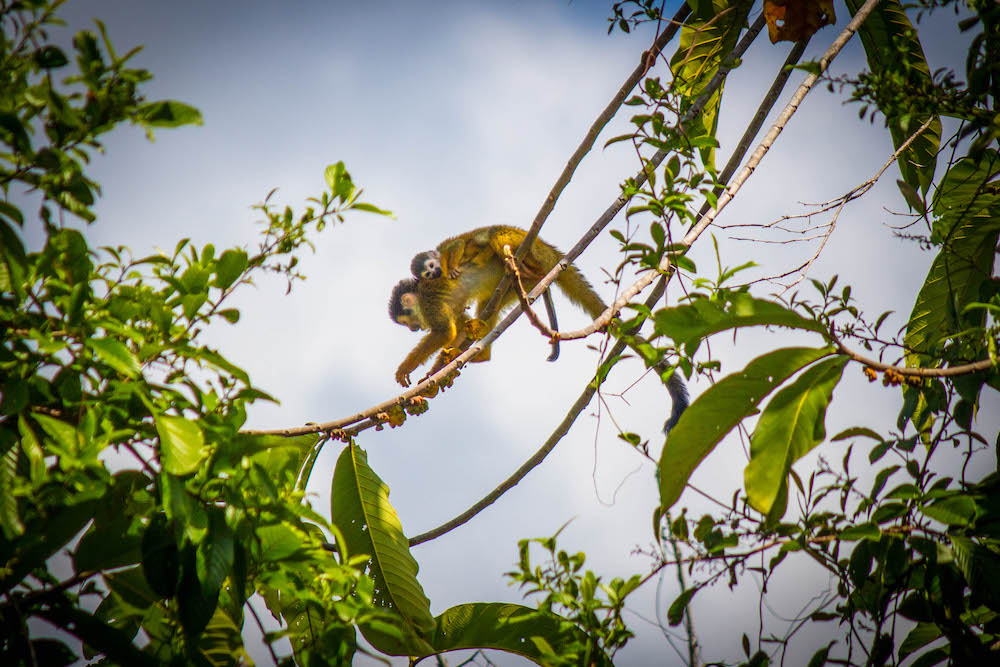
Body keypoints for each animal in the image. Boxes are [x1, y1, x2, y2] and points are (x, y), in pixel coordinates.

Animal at [388, 225, 689, 432]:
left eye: (410, 319)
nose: (414, 329)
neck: (421, 292)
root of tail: (547, 249)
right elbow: (458, 325)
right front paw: (435, 373)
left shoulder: (429, 304)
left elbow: (444, 332)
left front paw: (407, 369)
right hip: (513, 288)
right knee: (489, 304)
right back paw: (481, 350)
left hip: (521, 246)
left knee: (494, 240)